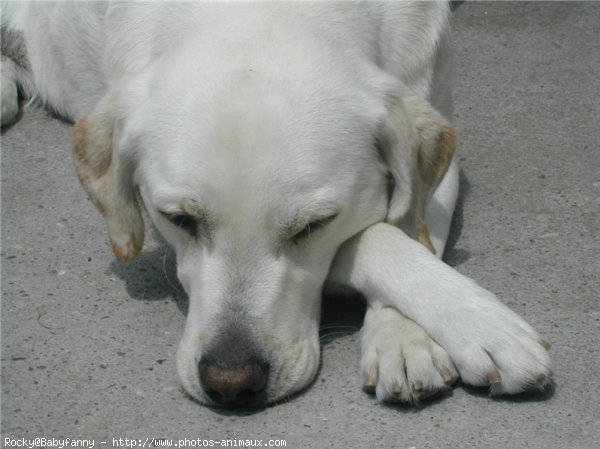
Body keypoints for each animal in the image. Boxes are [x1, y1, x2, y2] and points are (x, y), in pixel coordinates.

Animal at [2, 0, 552, 406]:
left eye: (313, 225)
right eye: (179, 219)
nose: (230, 383)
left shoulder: (439, 152)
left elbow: (400, 226)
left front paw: (408, 338)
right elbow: (370, 237)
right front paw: (476, 326)